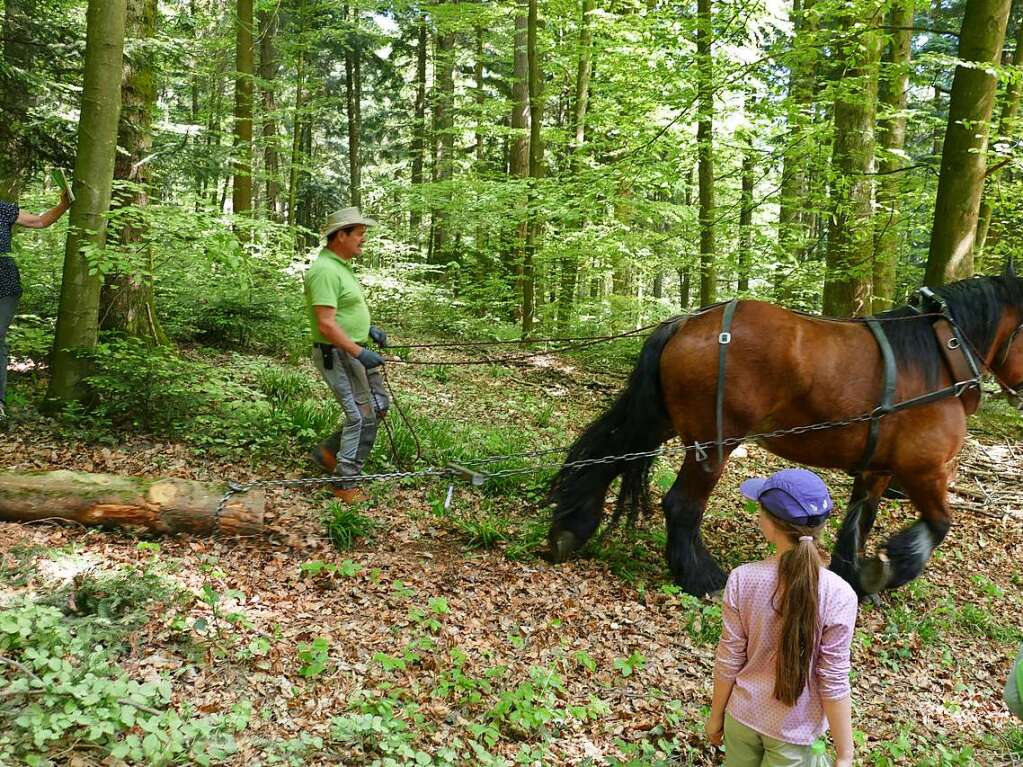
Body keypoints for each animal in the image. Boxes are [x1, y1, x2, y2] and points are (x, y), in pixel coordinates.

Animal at [548, 267, 1023, 597]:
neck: (942, 354)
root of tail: (687, 322)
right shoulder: (925, 469)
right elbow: (939, 524)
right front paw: (884, 571)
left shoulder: (879, 468)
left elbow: (859, 520)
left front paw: (850, 576)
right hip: (714, 442)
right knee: (682, 504)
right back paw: (701, 577)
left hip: (661, 420)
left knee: (611, 454)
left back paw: (571, 528)